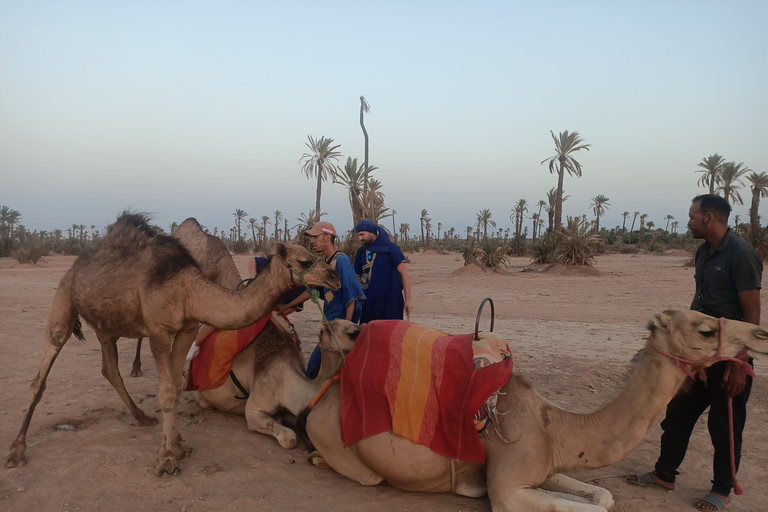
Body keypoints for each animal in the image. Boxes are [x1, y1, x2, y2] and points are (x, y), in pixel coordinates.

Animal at [302, 310, 768, 510]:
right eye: (705, 330)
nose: (760, 333)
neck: (553, 426)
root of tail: (325, 389)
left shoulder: (546, 466)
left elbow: (603, 495)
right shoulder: (506, 489)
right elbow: (591, 506)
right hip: (345, 447)